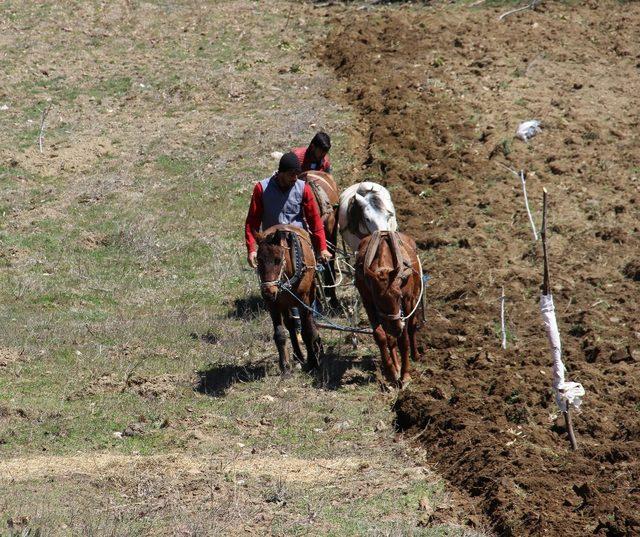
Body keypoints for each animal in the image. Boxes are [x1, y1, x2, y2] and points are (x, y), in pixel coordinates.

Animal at [258, 224, 322, 374]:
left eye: (278, 260)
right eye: (258, 260)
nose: (268, 292)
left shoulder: (303, 301)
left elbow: (306, 332)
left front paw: (312, 362)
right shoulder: (274, 304)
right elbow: (280, 333)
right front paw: (285, 366)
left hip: (310, 293)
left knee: (309, 320)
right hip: (285, 303)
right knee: (291, 324)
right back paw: (298, 355)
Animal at [358, 229, 422, 386]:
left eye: (399, 296)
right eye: (377, 299)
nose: (395, 328)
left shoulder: (407, 301)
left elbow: (404, 340)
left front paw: (405, 375)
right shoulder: (368, 302)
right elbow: (380, 336)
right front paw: (392, 372)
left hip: (413, 299)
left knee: (412, 327)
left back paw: (415, 355)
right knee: (390, 337)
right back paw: (396, 365)